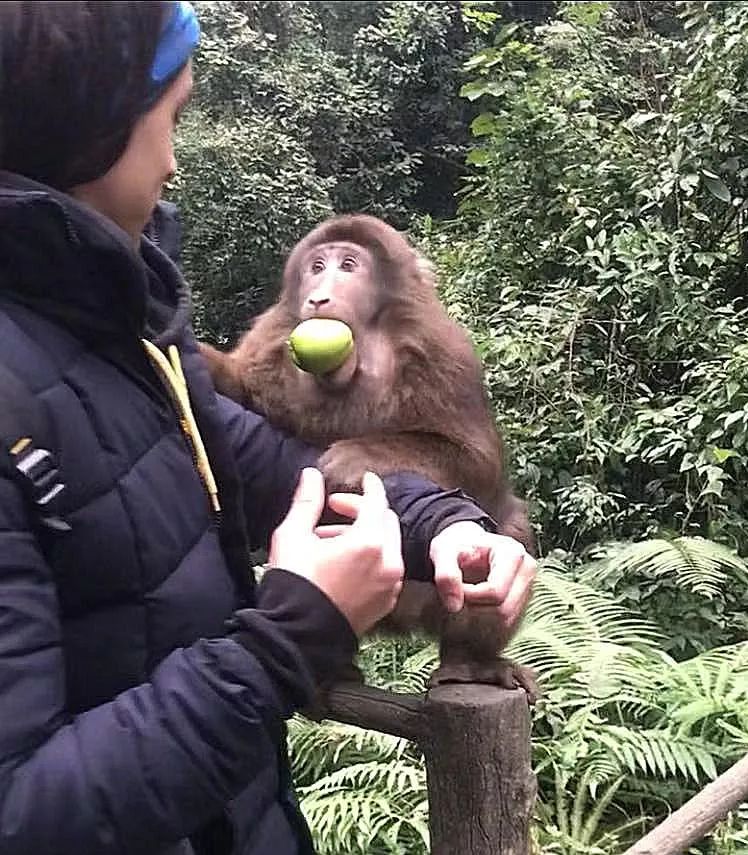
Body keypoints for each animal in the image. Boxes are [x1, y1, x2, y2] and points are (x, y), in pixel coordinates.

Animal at [199, 216, 536, 704]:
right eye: (317, 266)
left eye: (348, 265)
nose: (318, 296)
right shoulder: (272, 342)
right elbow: (242, 401)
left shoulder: (438, 349)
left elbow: (477, 463)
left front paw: (357, 455)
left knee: (505, 529)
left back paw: (471, 660)